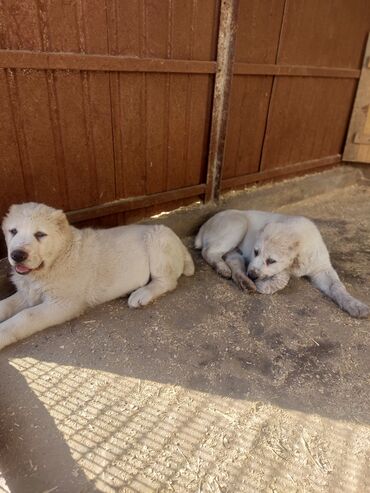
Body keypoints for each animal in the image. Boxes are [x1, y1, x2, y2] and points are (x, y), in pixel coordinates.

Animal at [0, 203, 195, 350]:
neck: (58, 257)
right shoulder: (28, 292)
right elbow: (7, 304)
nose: (17, 255)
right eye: (13, 231)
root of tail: (179, 243)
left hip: (157, 240)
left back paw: (141, 294)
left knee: (167, 281)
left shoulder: (63, 303)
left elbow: (26, 316)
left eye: (40, 235)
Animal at [195, 209, 368, 320]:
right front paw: (266, 285)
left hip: (234, 250)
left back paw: (244, 281)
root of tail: (204, 225)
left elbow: (336, 286)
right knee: (208, 251)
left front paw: (355, 305)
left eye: (271, 260)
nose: (252, 275)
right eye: (255, 252)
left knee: (232, 261)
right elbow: (283, 278)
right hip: (238, 224)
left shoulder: (322, 268)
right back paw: (224, 268)